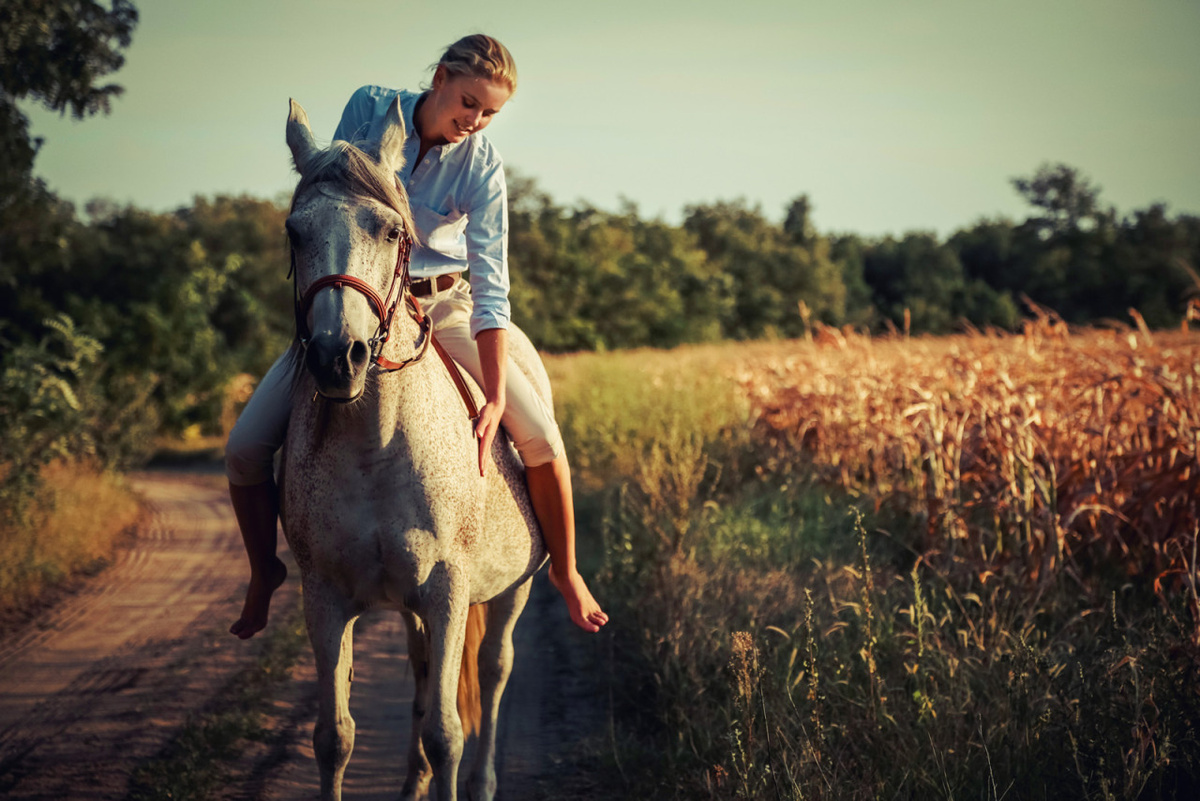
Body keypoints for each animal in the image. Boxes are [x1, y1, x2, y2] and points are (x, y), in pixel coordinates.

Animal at [278, 100, 547, 801]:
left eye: (390, 230)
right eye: (294, 232)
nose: (336, 356)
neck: (376, 444)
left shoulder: (447, 591)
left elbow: (447, 732)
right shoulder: (325, 597)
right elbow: (334, 736)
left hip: (512, 591)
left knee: (496, 668)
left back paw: (481, 781)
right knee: (427, 677)